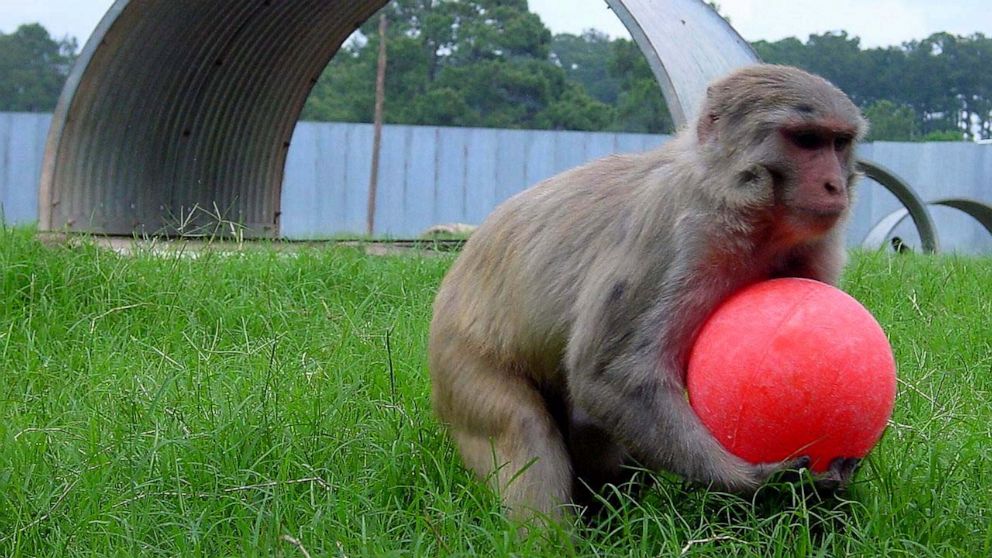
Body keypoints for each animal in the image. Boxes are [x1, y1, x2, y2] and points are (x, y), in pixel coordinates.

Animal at [426, 65, 868, 524]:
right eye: (805, 140)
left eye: (838, 142)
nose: (834, 185)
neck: (740, 200)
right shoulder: (681, 238)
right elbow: (611, 376)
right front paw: (756, 480)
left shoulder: (816, 246)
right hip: (461, 361)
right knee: (526, 427)